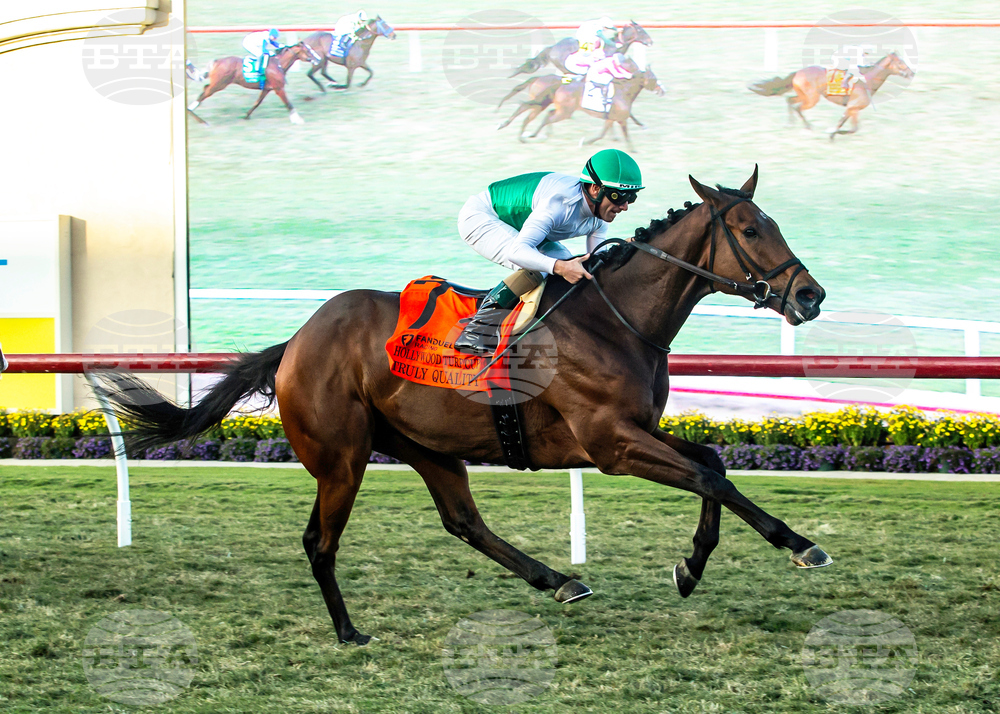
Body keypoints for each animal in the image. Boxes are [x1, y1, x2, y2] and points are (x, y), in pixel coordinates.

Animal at [97, 168, 832, 646]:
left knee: (463, 522)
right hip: (342, 457)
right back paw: (348, 631)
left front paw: (692, 565)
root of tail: (296, 342)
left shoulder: (636, 431)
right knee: (320, 541)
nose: (811, 296)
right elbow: (711, 476)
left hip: (426, 448)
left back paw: (557, 580)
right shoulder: (611, 444)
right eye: (749, 228)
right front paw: (797, 545)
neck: (615, 320)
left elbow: (712, 464)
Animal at [186, 43, 322, 125]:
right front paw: (297, 119)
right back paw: (197, 117)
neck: (278, 64)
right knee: (204, 94)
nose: (319, 59)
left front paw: (246, 115)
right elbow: (288, 104)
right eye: (308, 50)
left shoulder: (267, 89)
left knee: (204, 90)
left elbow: (257, 103)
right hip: (219, 84)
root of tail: (217, 61)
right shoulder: (279, 88)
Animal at [516, 62, 664, 145]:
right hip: (562, 111)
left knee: (548, 114)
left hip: (560, 109)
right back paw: (531, 134)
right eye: (653, 78)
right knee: (543, 117)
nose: (663, 90)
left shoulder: (611, 116)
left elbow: (605, 130)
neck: (623, 90)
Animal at [748, 52, 915, 139]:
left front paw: (833, 133)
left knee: (790, 100)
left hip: (805, 96)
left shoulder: (850, 109)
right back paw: (807, 126)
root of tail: (798, 72)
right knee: (797, 107)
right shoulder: (853, 108)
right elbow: (851, 128)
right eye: (900, 63)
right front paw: (831, 133)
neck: (868, 80)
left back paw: (791, 124)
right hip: (811, 99)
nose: (911, 73)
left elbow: (844, 124)